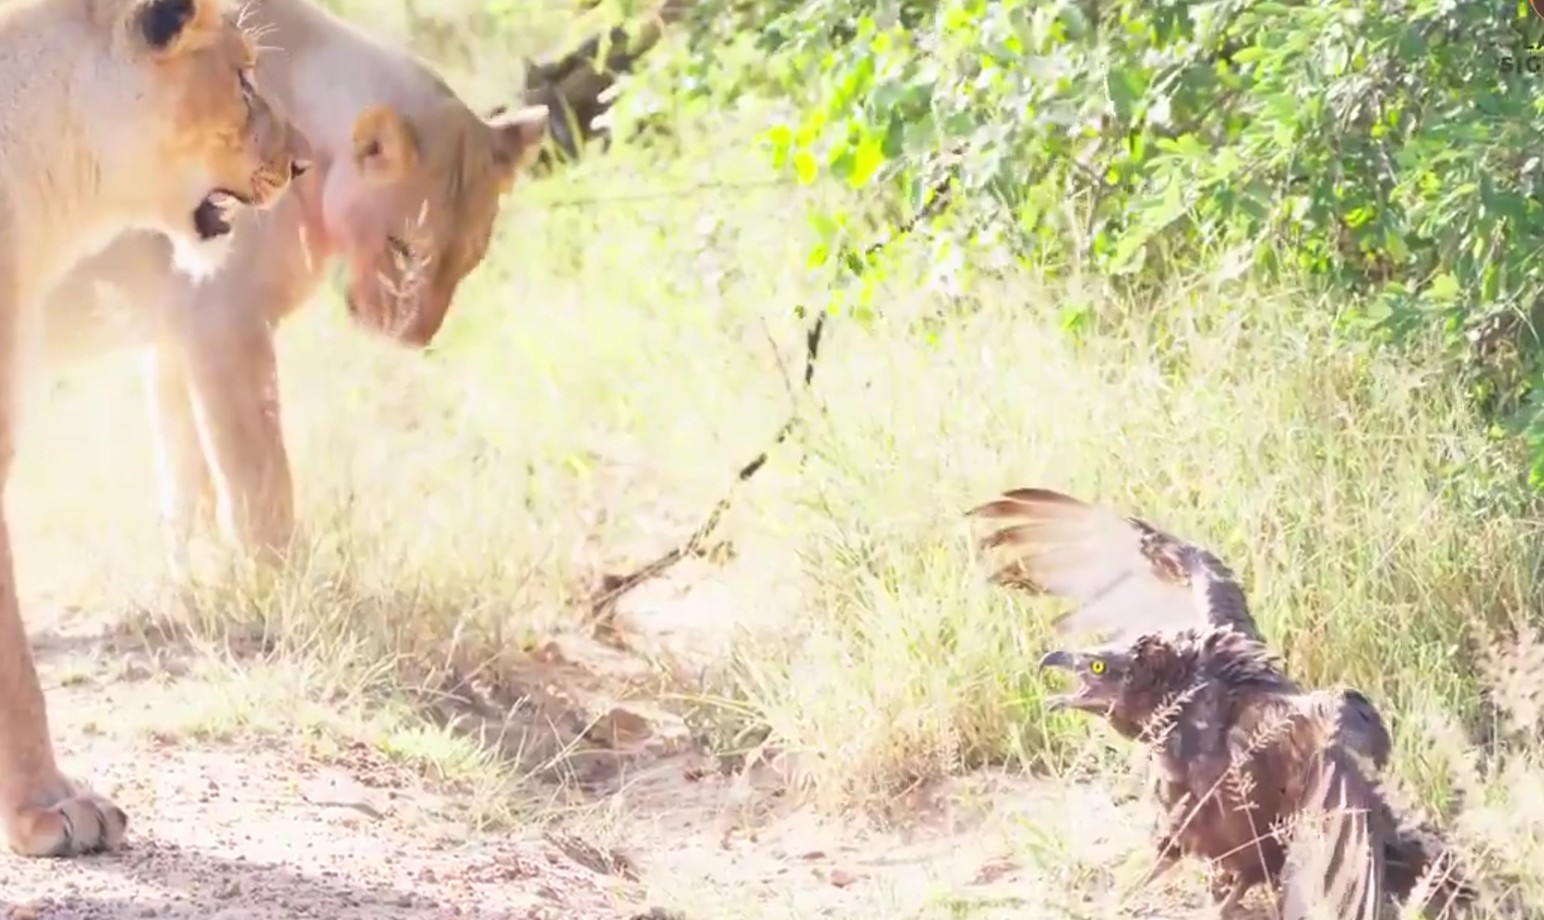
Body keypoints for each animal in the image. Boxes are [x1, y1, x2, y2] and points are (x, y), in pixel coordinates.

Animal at [40, 0, 551, 566]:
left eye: (470, 257)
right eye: (403, 247)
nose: (414, 339)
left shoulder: (172, 332)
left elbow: (184, 473)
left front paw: (196, 569)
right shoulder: (224, 323)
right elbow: (257, 478)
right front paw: (280, 573)